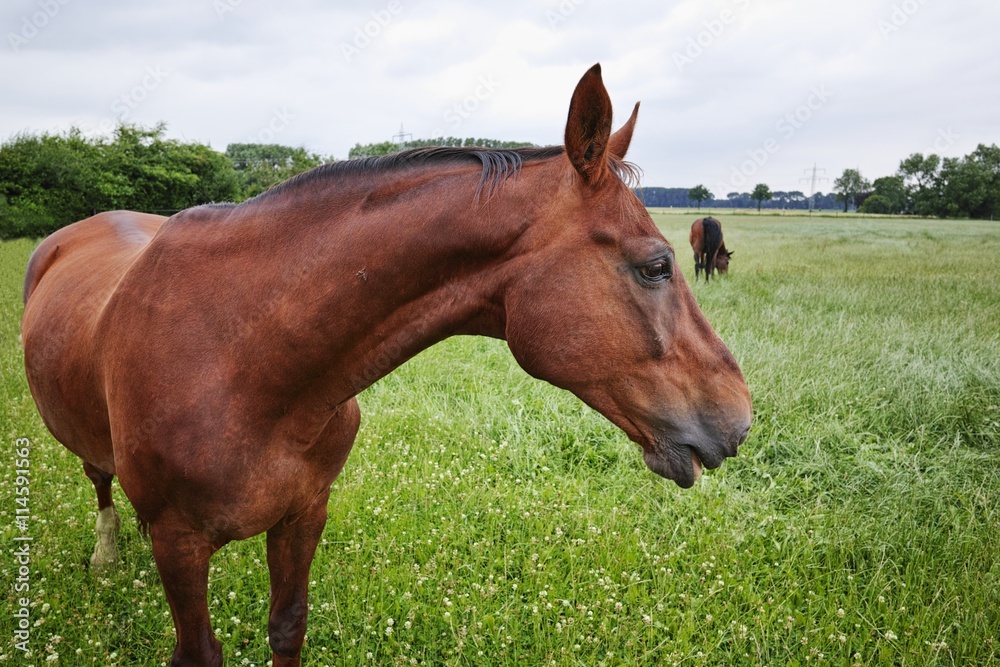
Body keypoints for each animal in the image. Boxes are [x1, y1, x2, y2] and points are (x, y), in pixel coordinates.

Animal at [21, 64, 752, 667]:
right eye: (655, 266)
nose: (740, 418)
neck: (243, 360)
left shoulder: (304, 514)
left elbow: (287, 626)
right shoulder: (179, 541)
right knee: (98, 478)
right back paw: (106, 552)